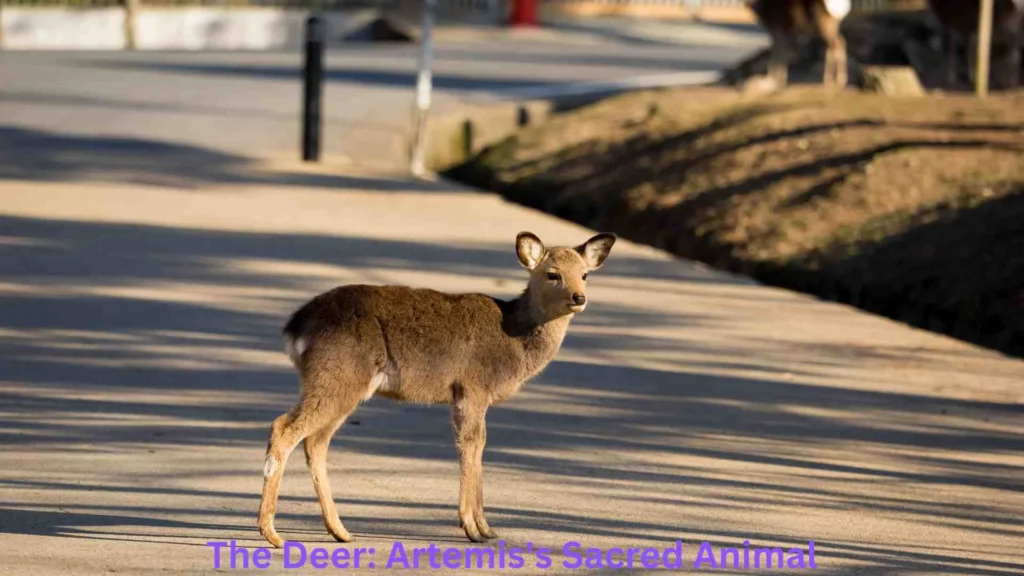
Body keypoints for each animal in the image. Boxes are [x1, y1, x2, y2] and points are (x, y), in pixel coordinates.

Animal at [257, 231, 617, 546]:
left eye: (585, 275)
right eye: (553, 274)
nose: (579, 298)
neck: (515, 340)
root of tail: (295, 328)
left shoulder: (463, 396)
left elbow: (477, 445)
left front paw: (487, 528)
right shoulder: (473, 386)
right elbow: (472, 444)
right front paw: (472, 528)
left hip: (339, 383)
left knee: (315, 442)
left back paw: (340, 531)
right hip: (339, 375)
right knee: (285, 428)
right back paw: (273, 533)